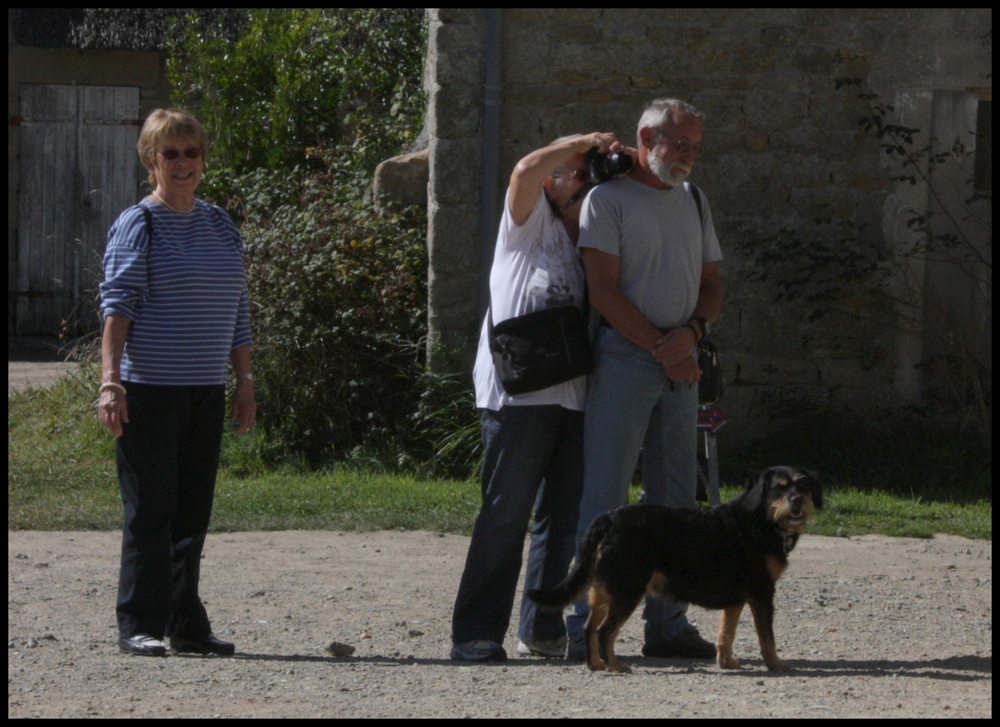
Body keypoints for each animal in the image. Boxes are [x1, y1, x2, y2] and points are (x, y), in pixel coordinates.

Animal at [528, 470, 824, 672]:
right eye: (779, 488)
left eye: (803, 485)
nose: (797, 500)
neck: (760, 519)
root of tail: (608, 519)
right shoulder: (762, 592)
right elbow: (767, 637)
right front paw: (776, 665)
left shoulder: (737, 599)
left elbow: (726, 634)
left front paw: (726, 662)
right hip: (627, 590)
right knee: (605, 631)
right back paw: (615, 666)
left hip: (603, 590)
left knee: (589, 628)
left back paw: (596, 665)